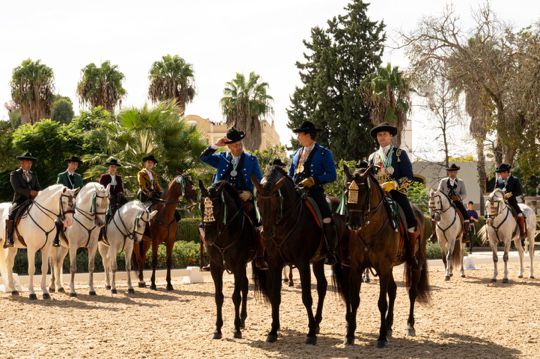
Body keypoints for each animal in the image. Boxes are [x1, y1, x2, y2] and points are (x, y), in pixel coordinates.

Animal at [252, 166, 346, 346]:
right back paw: (317, 322)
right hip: (318, 260)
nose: (266, 235)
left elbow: (306, 297)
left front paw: (310, 334)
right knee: (322, 286)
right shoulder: (275, 263)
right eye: (258, 202)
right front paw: (273, 331)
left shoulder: (302, 263)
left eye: (276, 202)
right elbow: (275, 297)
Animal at [336, 166, 432, 348]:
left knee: (412, 292)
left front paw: (380, 338)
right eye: (346, 190)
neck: (370, 229)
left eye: (364, 192)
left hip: (414, 263)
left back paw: (409, 325)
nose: (353, 223)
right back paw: (388, 326)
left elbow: (382, 303)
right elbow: (355, 299)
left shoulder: (383, 266)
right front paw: (349, 335)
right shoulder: (357, 268)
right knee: (393, 290)